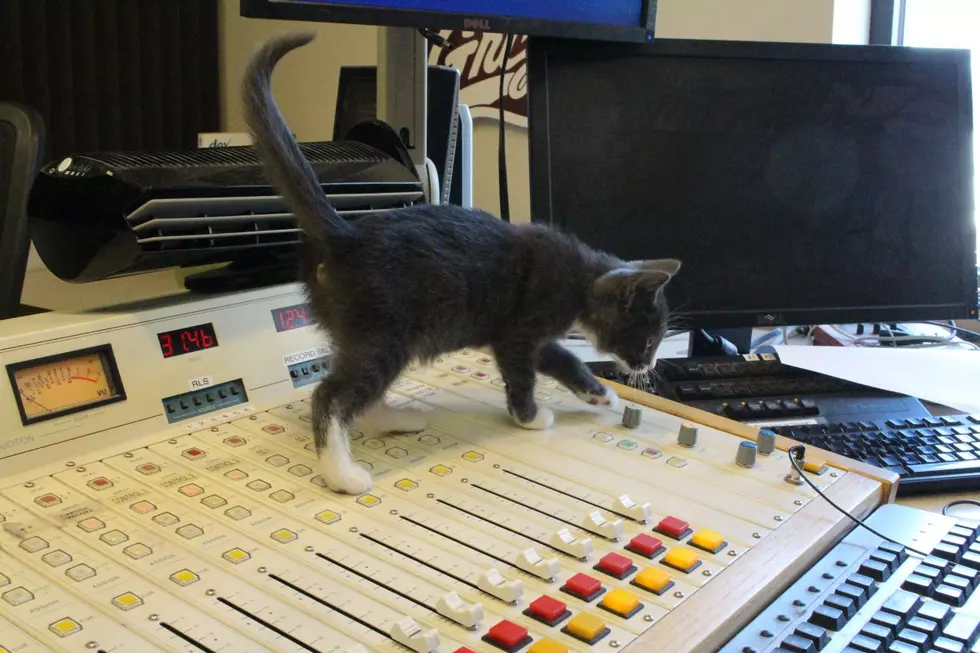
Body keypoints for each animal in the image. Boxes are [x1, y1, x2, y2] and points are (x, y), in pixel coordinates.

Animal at [243, 33, 680, 492]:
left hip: (366, 333)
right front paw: (530, 417)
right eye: (648, 340)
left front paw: (599, 393)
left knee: (361, 392)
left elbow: (564, 359)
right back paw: (342, 472)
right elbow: (522, 374)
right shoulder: (518, 332)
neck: (580, 277)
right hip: (384, 330)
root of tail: (345, 235)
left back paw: (394, 419)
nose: (649, 366)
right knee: (332, 395)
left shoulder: (533, 338)